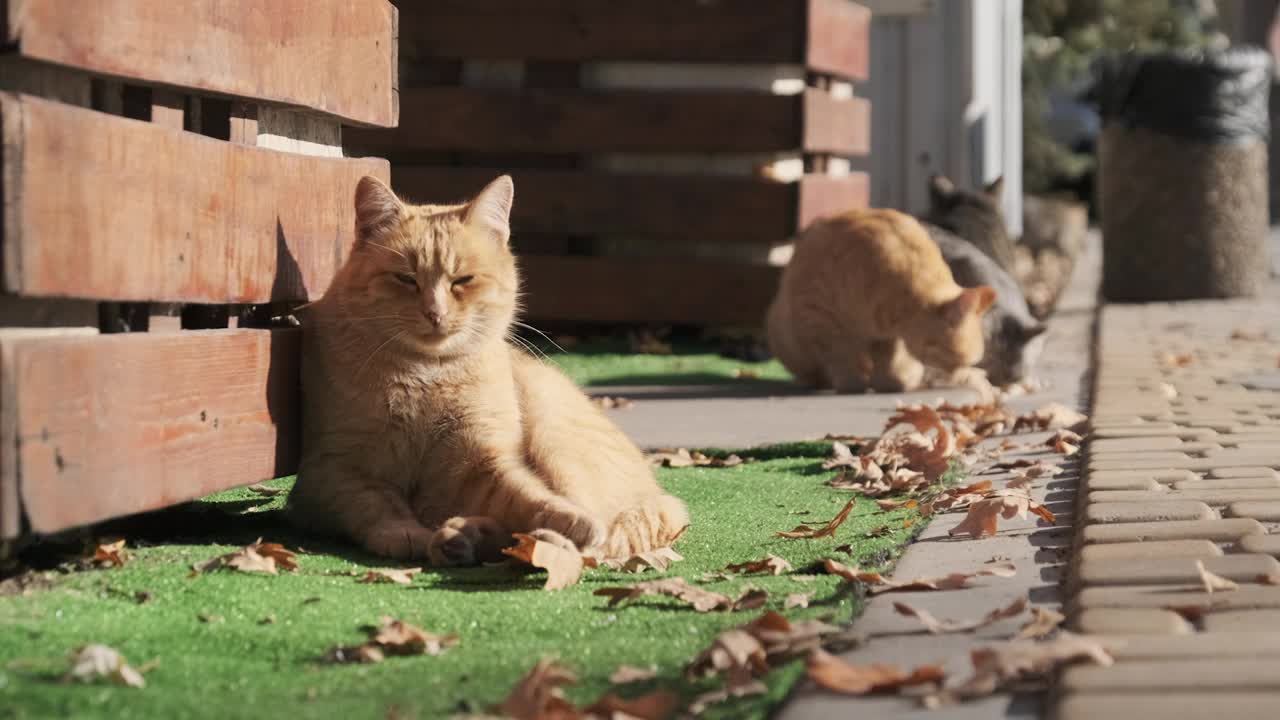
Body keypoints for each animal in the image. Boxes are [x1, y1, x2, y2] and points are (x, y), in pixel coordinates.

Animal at [288, 175, 691, 566]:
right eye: (406, 279)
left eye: (462, 280)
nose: (435, 313)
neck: (427, 372)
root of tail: (655, 491)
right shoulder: (331, 473)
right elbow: (375, 504)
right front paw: (404, 532)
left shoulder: (482, 465)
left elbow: (531, 498)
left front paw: (568, 523)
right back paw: (462, 539)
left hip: (553, 438)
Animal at [762, 207, 993, 392]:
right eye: (953, 357)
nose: (959, 375)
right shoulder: (822, 319)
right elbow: (841, 357)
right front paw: (851, 384)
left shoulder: (886, 338)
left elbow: (886, 361)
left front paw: (888, 384)